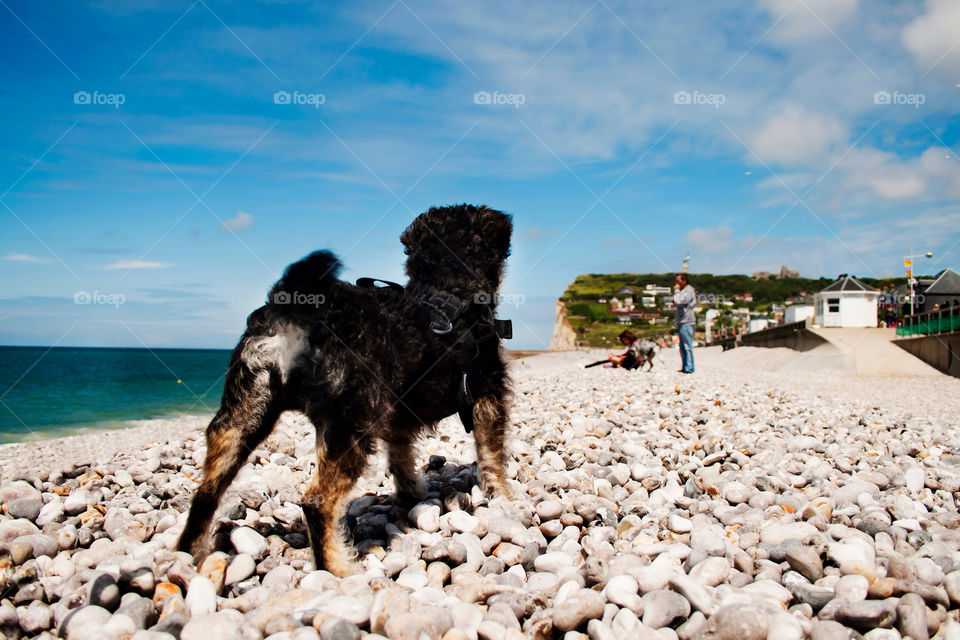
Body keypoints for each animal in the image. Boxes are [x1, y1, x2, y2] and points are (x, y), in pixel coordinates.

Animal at [176, 205, 512, 576]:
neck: (446, 288)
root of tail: (288, 312)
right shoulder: (488, 397)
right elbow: (491, 455)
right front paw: (503, 497)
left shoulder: (397, 419)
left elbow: (401, 461)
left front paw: (411, 495)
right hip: (348, 428)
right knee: (315, 501)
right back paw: (337, 569)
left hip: (243, 415)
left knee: (207, 490)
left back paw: (189, 553)